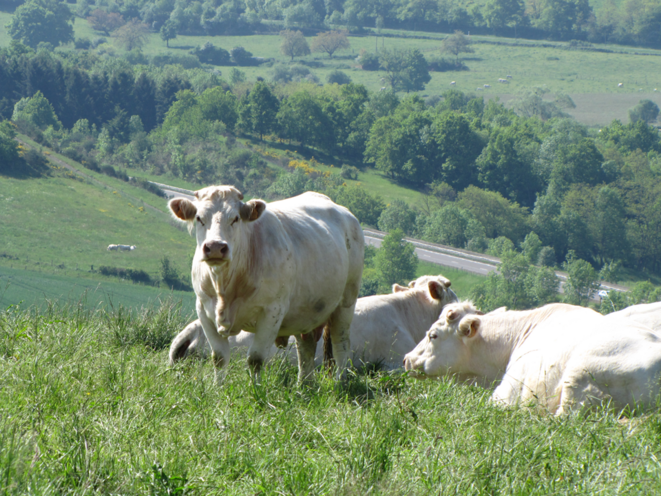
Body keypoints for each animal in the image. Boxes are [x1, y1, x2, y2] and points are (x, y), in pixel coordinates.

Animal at [168, 186, 364, 383]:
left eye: (235, 218)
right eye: (199, 218)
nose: (215, 247)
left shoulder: (272, 311)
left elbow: (256, 359)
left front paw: (256, 388)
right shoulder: (203, 309)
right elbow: (219, 357)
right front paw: (217, 387)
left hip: (346, 302)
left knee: (341, 345)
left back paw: (339, 383)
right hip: (307, 310)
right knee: (305, 348)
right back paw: (304, 384)